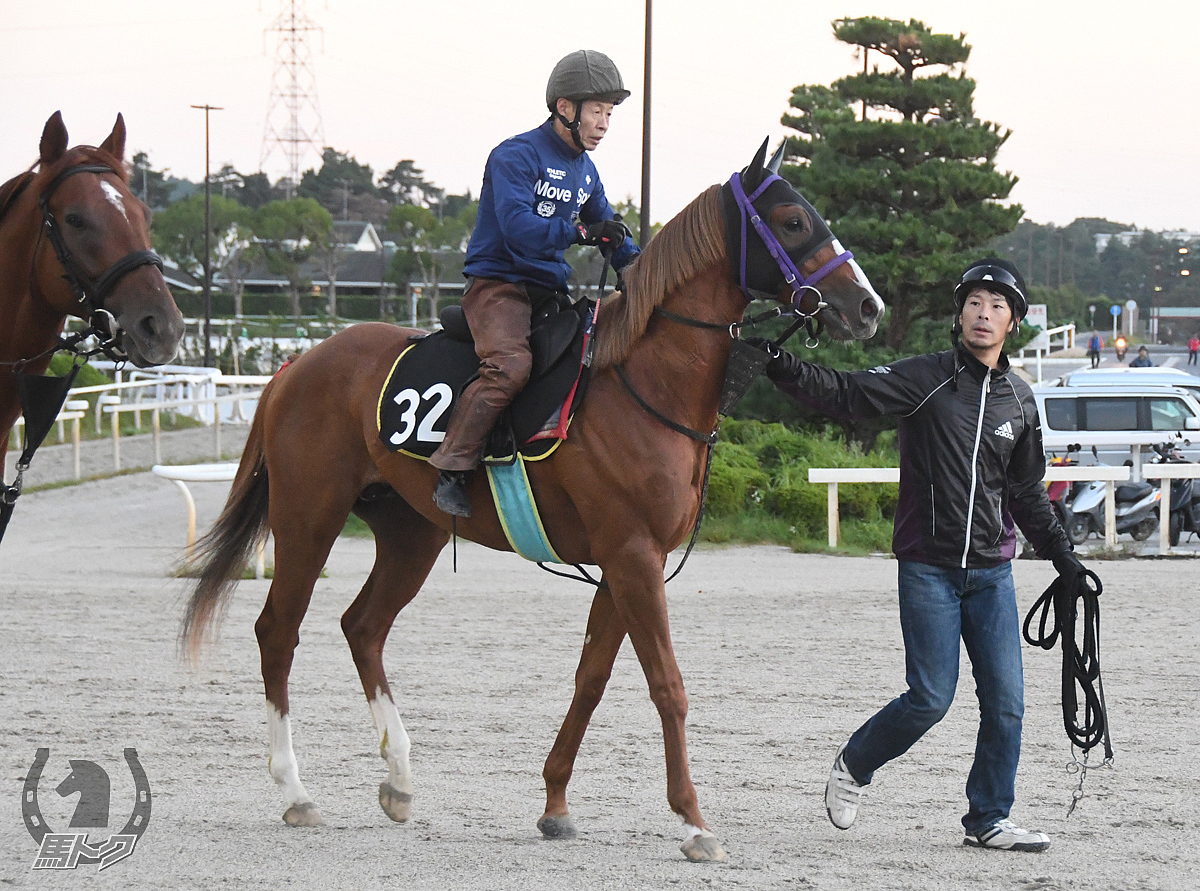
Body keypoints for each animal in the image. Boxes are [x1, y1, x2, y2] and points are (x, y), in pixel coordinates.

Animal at [182, 141, 888, 864]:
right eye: (793, 220)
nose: (867, 305)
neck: (643, 379)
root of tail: (296, 366)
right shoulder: (632, 557)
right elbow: (667, 685)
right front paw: (693, 821)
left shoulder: (626, 564)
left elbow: (591, 680)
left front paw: (555, 803)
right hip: (309, 515)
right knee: (279, 631)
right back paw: (296, 790)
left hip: (411, 533)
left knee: (364, 627)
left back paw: (399, 780)